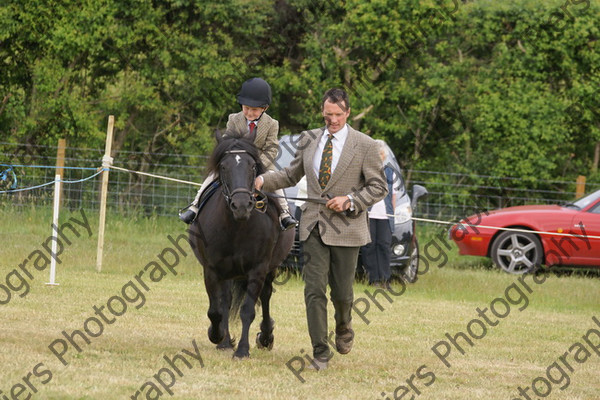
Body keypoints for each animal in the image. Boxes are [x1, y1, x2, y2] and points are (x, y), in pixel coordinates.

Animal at [189, 131, 294, 360]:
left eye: (253, 166)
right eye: (223, 167)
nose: (241, 206)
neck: (236, 227)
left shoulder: (258, 269)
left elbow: (248, 310)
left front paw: (243, 350)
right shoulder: (212, 270)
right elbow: (216, 310)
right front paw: (217, 336)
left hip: (269, 269)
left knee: (265, 296)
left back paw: (266, 337)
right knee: (226, 301)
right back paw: (224, 342)